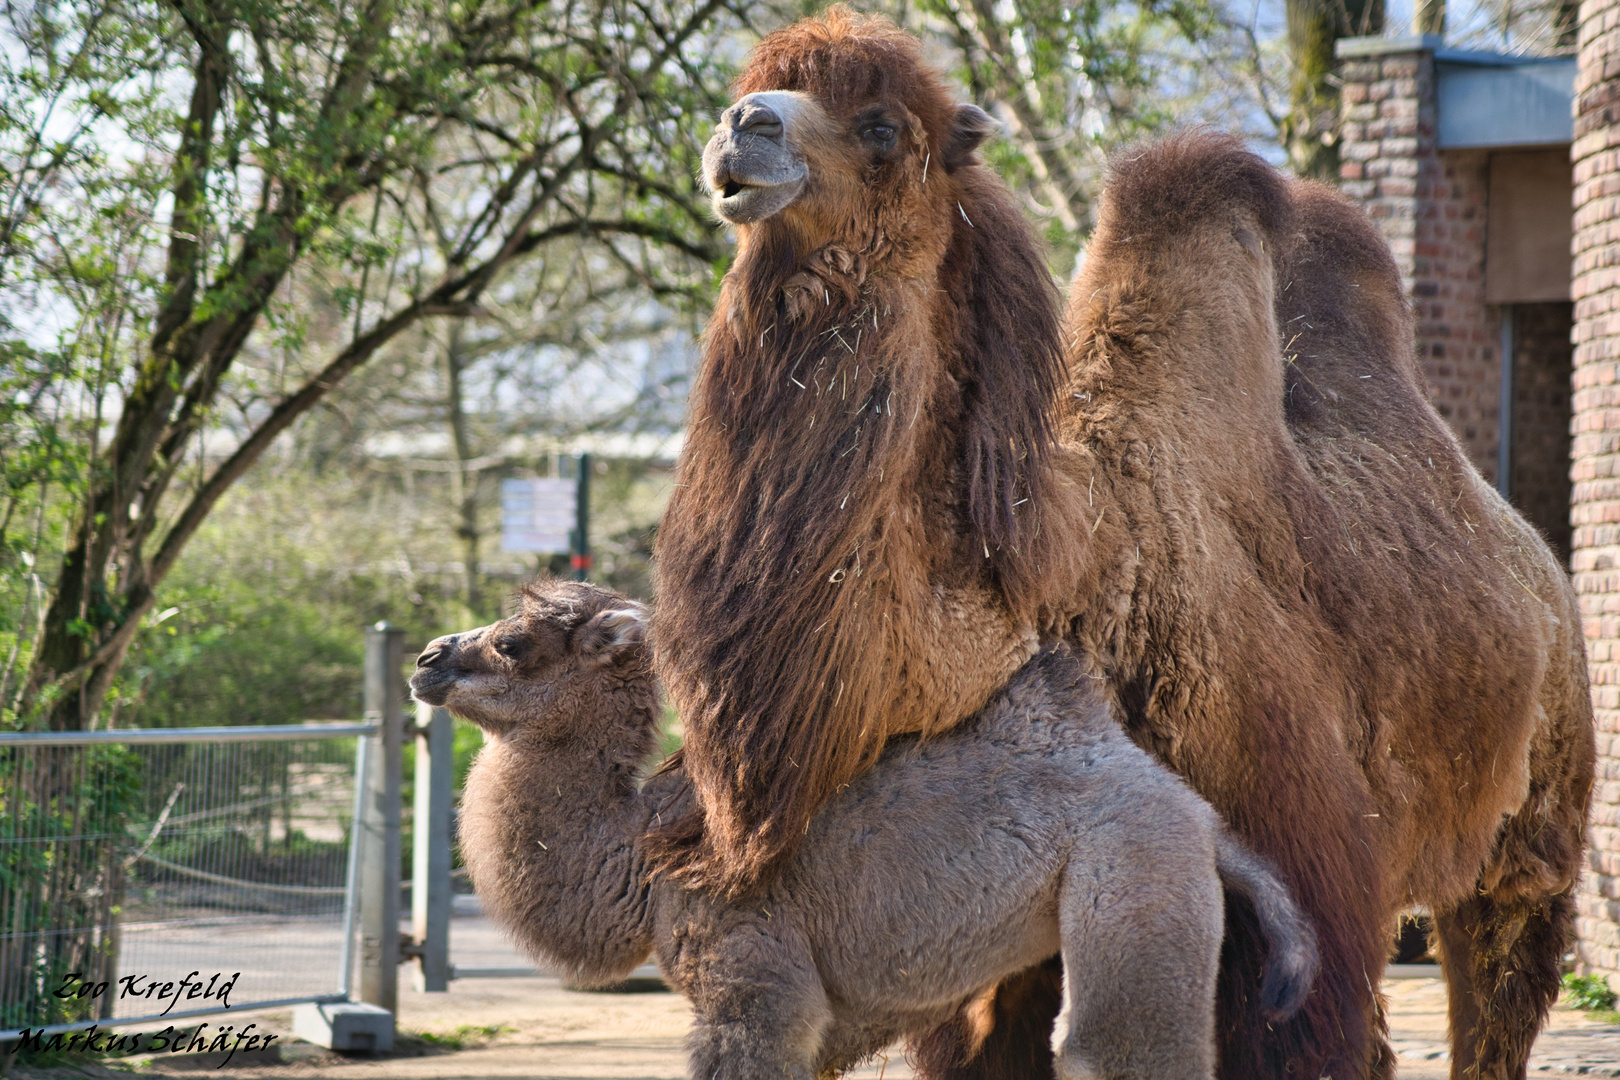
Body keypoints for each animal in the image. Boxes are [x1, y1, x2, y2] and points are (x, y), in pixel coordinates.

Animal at [411, 582, 1321, 1080]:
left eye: (513, 642)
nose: (425, 658)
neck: (639, 859)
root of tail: (1194, 811)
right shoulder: (830, 1013)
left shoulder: (752, 973)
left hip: (1132, 864)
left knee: (1117, 1048)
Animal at [644, 6, 1594, 1075]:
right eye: (753, 83)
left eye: (883, 128)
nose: (743, 126)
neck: (1075, 588)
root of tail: (1541, 567)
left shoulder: (1302, 861)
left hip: (1534, 834)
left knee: (1500, 977)